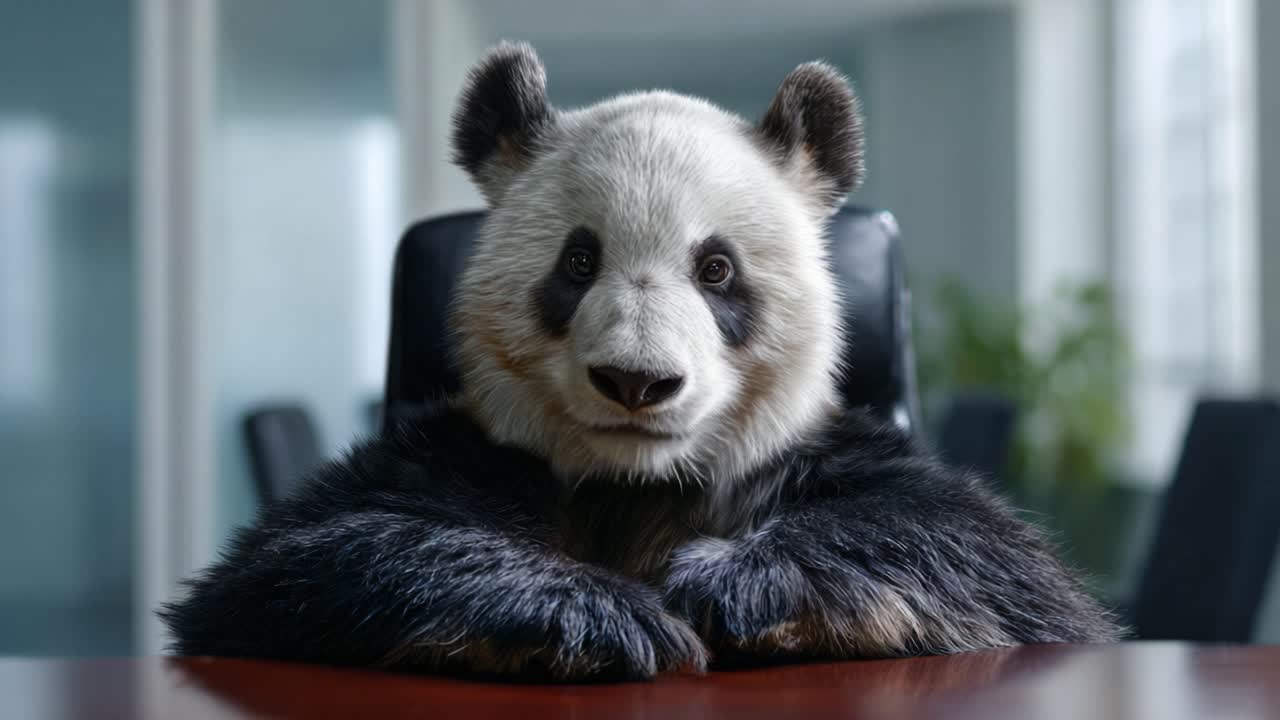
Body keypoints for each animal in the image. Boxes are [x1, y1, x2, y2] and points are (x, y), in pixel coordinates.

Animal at [161, 41, 1120, 681]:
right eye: (579, 261)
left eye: (716, 268)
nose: (637, 381)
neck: (637, 485)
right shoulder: (462, 453)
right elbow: (299, 562)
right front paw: (602, 616)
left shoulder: (816, 456)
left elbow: (983, 557)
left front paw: (726, 590)